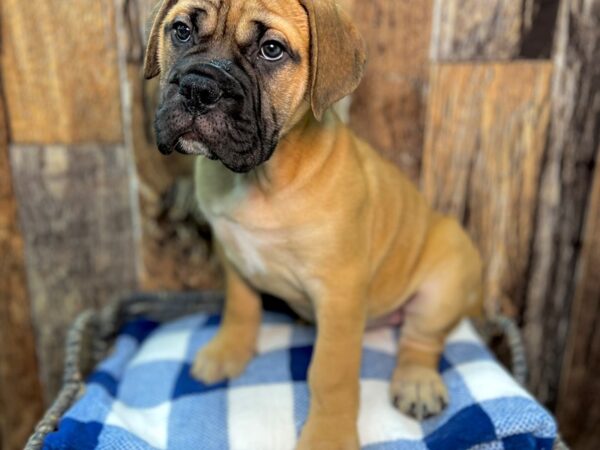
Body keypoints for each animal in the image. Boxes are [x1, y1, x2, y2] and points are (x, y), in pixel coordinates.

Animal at [144, 0, 482, 446]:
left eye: (271, 50)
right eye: (181, 31)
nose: (200, 88)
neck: (260, 179)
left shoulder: (339, 292)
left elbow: (330, 374)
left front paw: (328, 435)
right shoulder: (232, 255)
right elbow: (241, 306)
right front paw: (228, 350)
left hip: (446, 277)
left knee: (422, 338)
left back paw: (417, 381)